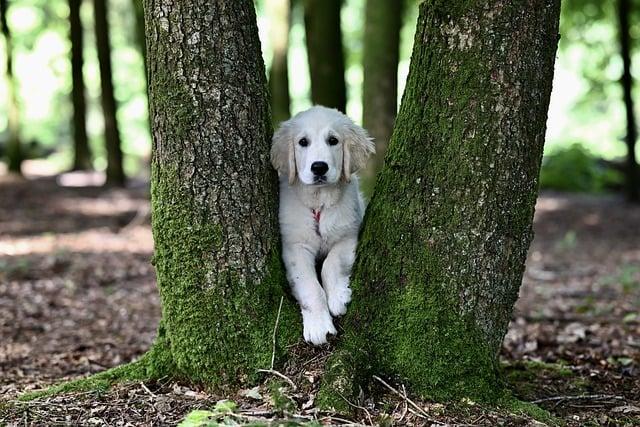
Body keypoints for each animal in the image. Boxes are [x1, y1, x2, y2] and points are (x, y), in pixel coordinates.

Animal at [270, 106, 376, 344]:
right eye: (303, 142)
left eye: (333, 140)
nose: (319, 167)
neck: (319, 202)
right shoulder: (295, 247)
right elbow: (310, 287)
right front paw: (319, 326)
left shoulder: (348, 236)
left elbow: (332, 264)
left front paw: (338, 297)